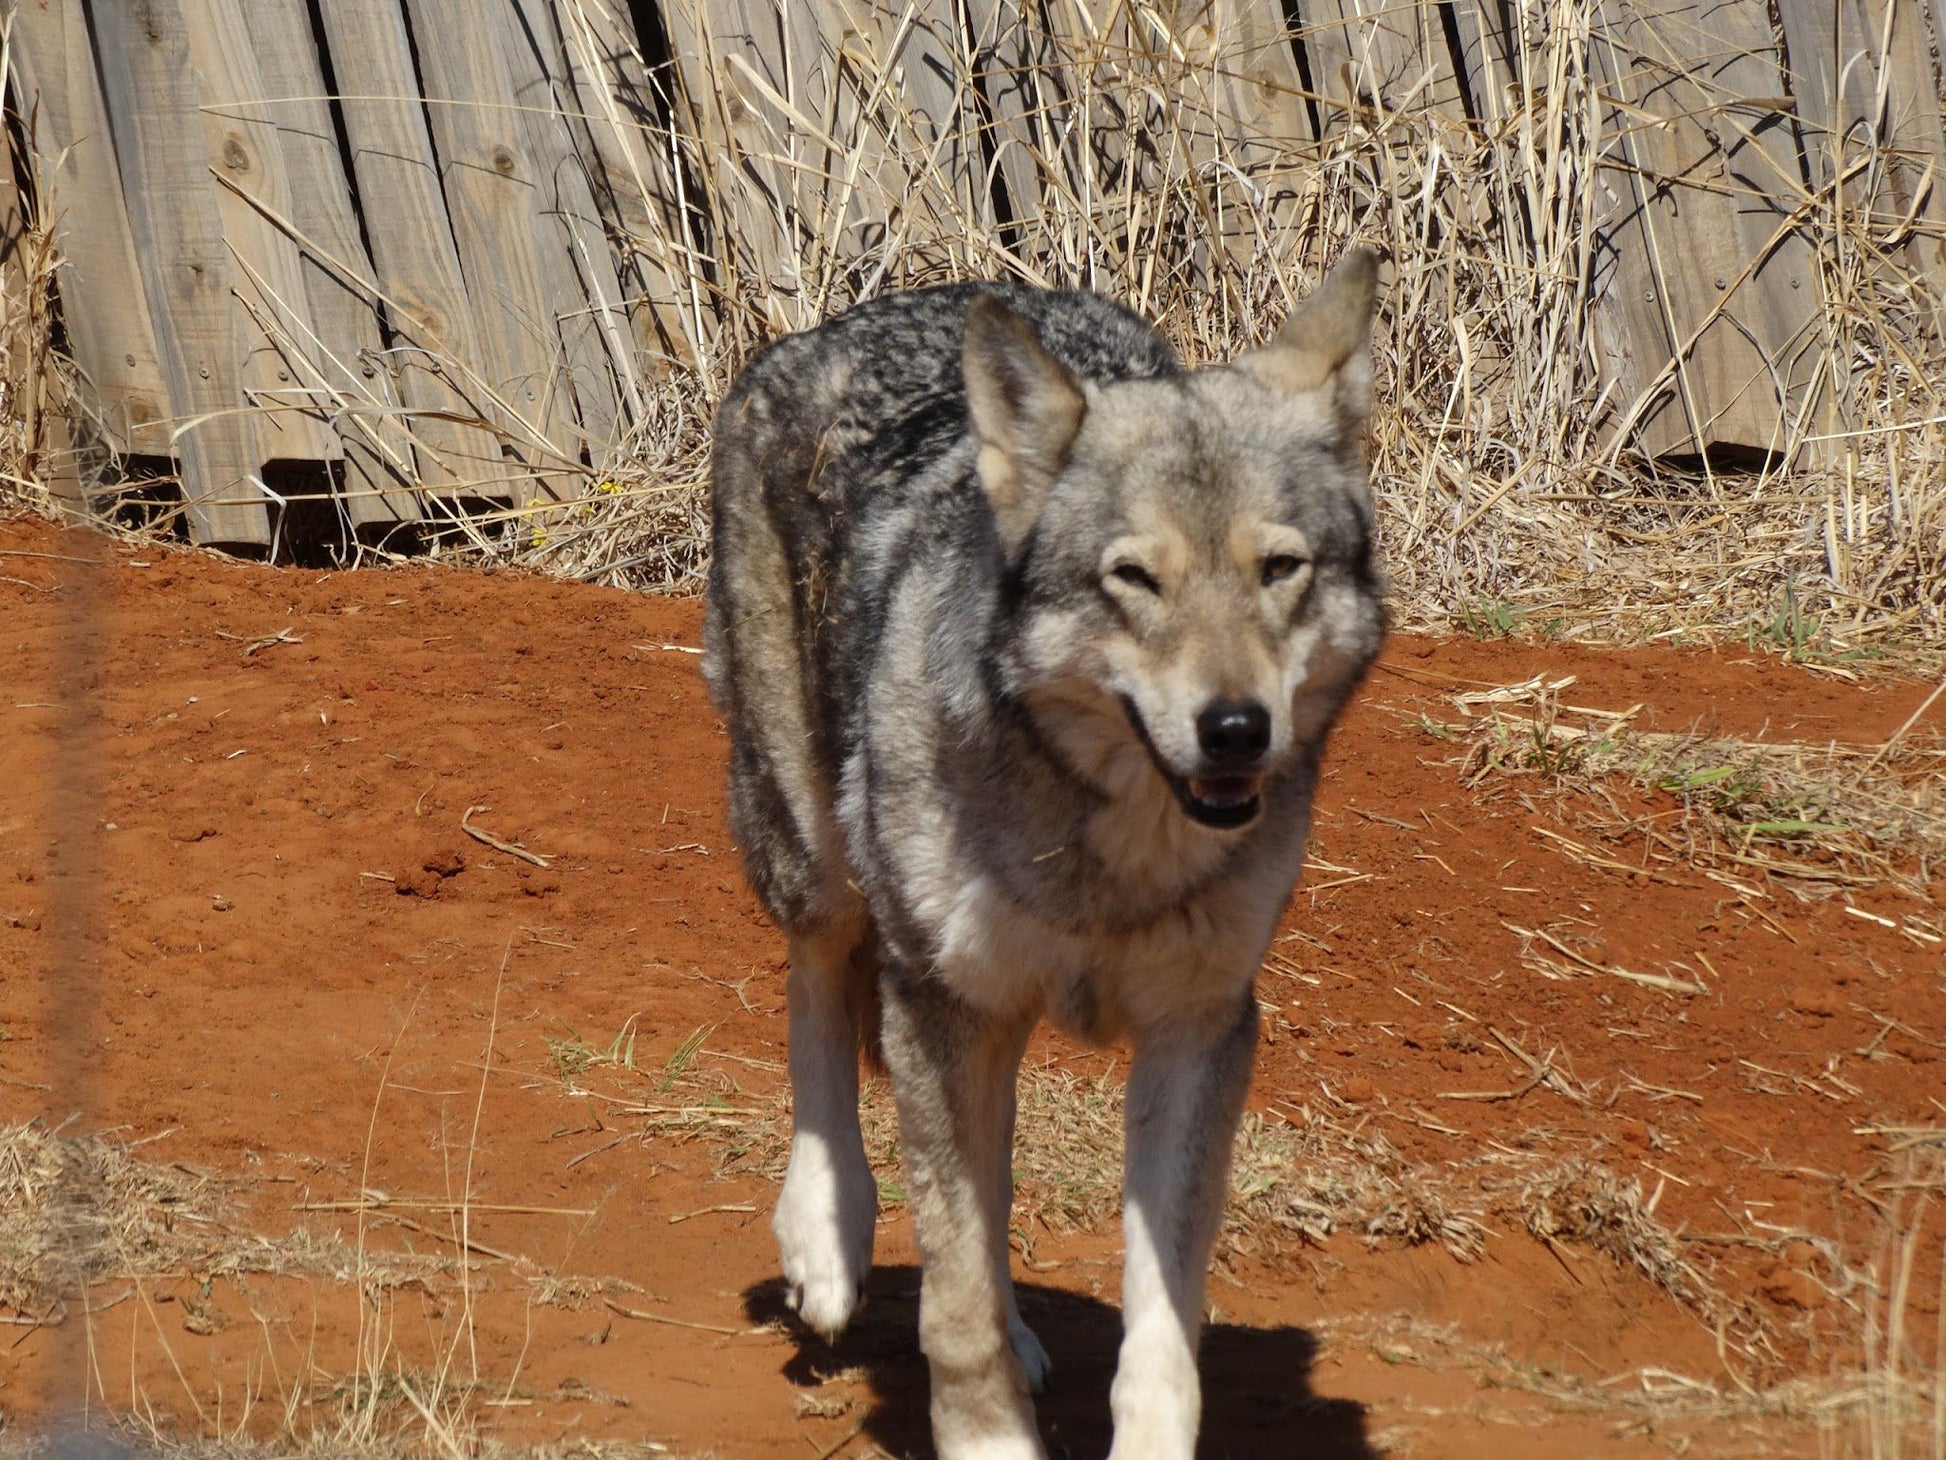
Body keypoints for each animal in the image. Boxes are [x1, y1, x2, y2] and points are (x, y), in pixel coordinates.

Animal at [700, 256, 1385, 1456]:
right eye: (1134, 579)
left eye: (1279, 569)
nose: (1235, 729)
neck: (1106, 847)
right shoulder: (942, 1005)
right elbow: (954, 1302)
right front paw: (988, 1433)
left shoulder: (1199, 1027)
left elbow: (1160, 1323)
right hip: (818, 854)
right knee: (818, 994)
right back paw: (825, 1237)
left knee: (989, 1185)